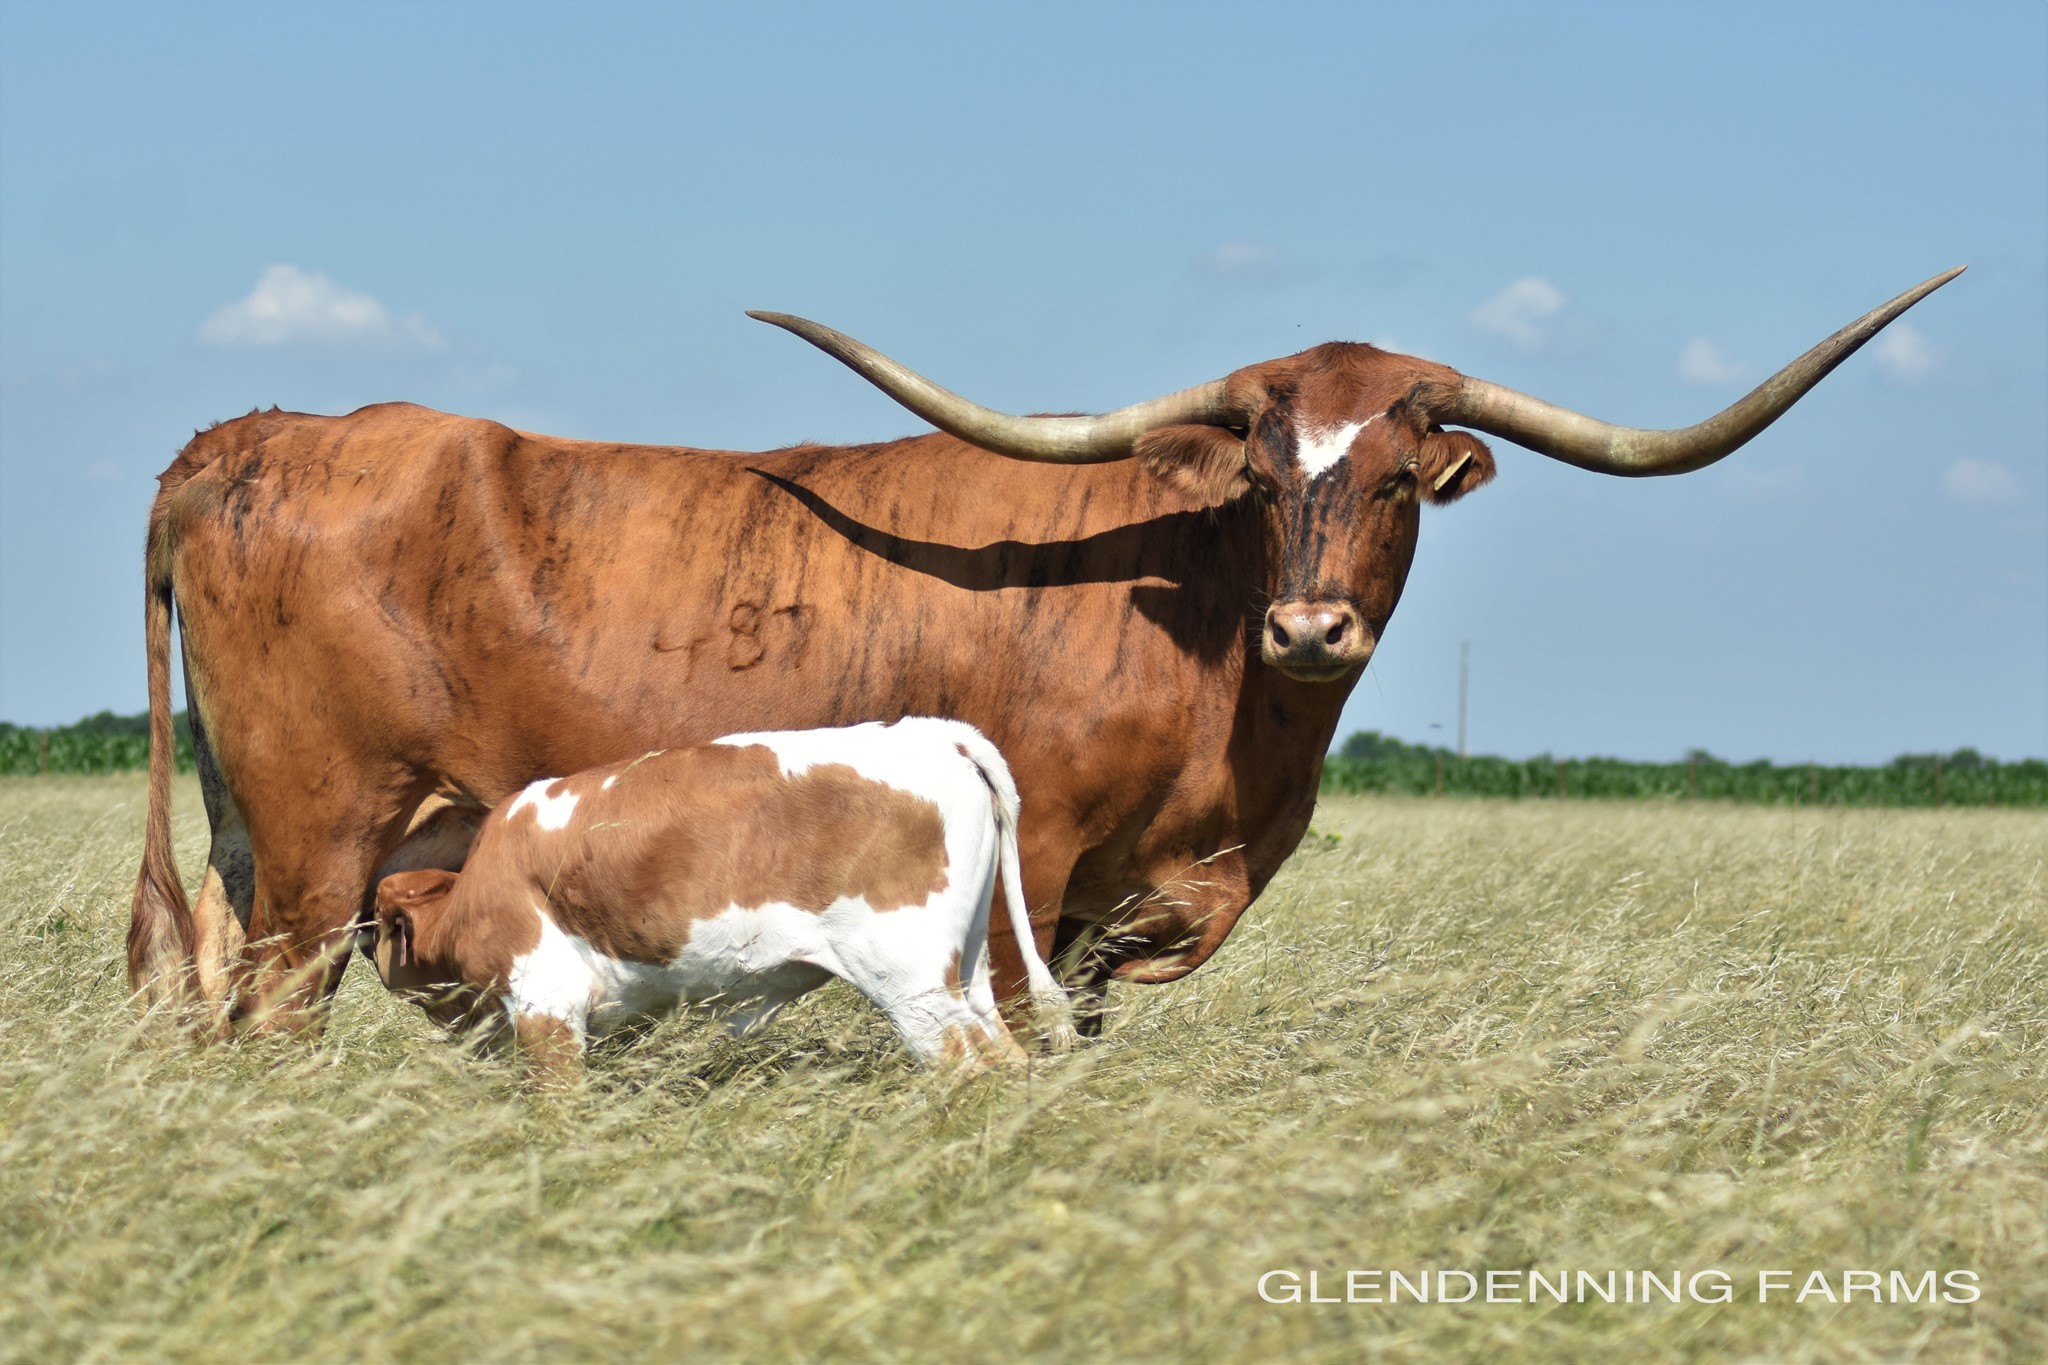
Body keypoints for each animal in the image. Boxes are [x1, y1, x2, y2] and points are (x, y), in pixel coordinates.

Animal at [127, 268, 1962, 1036]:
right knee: (270, 1017)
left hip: (258, 843)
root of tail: (250, 433)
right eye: (1263, 474)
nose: (1311, 623)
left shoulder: (1122, 905)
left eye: (1391, 481)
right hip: (316, 846)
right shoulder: (1037, 871)